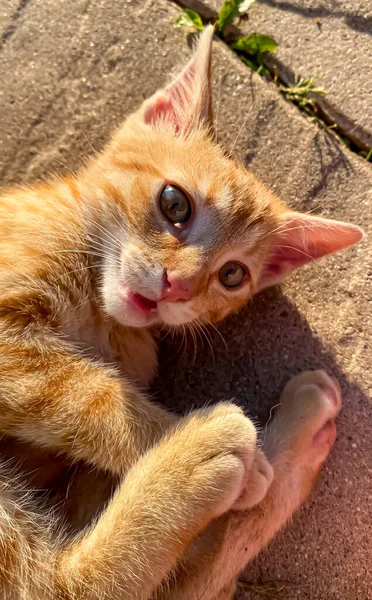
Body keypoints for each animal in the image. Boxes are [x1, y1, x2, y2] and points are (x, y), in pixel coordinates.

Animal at [0, 25, 362, 600]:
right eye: (175, 204)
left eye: (232, 275)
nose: (178, 286)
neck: (102, 318)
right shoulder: (9, 337)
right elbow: (86, 392)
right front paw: (204, 449)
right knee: (64, 586)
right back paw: (207, 453)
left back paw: (298, 434)